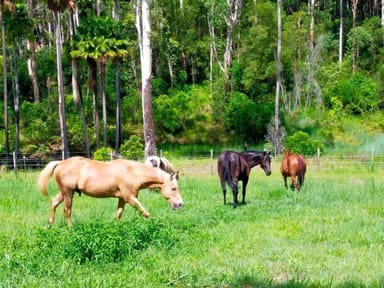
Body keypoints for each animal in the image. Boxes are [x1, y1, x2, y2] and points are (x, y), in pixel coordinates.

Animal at [37, 156, 183, 226]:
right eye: (173, 188)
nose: (180, 204)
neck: (132, 172)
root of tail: (60, 163)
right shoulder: (130, 198)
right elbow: (145, 213)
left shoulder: (122, 198)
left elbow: (118, 215)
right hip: (68, 193)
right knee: (67, 211)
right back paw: (70, 228)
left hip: (64, 192)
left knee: (53, 203)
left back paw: (49, 225)